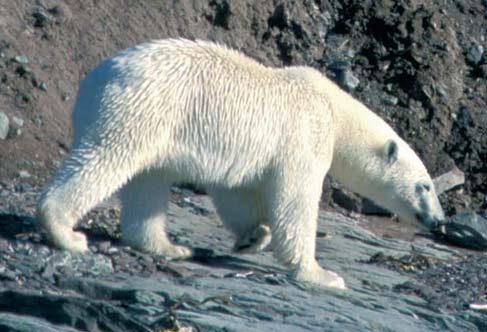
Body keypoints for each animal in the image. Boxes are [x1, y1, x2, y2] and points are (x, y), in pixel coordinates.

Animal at [37, 38, 446, 288]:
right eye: (424, 186)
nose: (439, 221)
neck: (334, 107)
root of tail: (93, 80)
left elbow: (235, 191)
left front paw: (253, 237)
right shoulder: (304, 133)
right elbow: (296, 198)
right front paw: (322, 274)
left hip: (156, 126)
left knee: (148, 183)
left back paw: (169, 247)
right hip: (141, 109)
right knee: (105, 159)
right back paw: (66, 232)